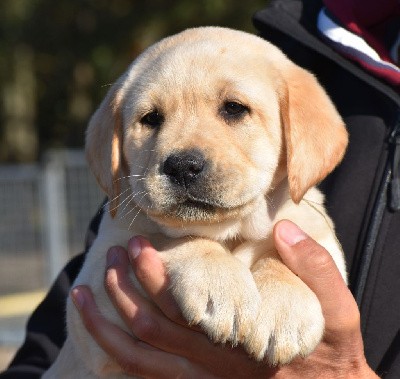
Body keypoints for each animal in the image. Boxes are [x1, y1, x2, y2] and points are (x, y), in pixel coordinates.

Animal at [44, 26, 346, 378]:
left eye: (234, 108)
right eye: (151, 118)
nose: (182, 166)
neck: (231, 233)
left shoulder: (320, 239)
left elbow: (279, 255)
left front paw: (285, 312)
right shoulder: (92, 291)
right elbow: (169, 237)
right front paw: (221, 285)